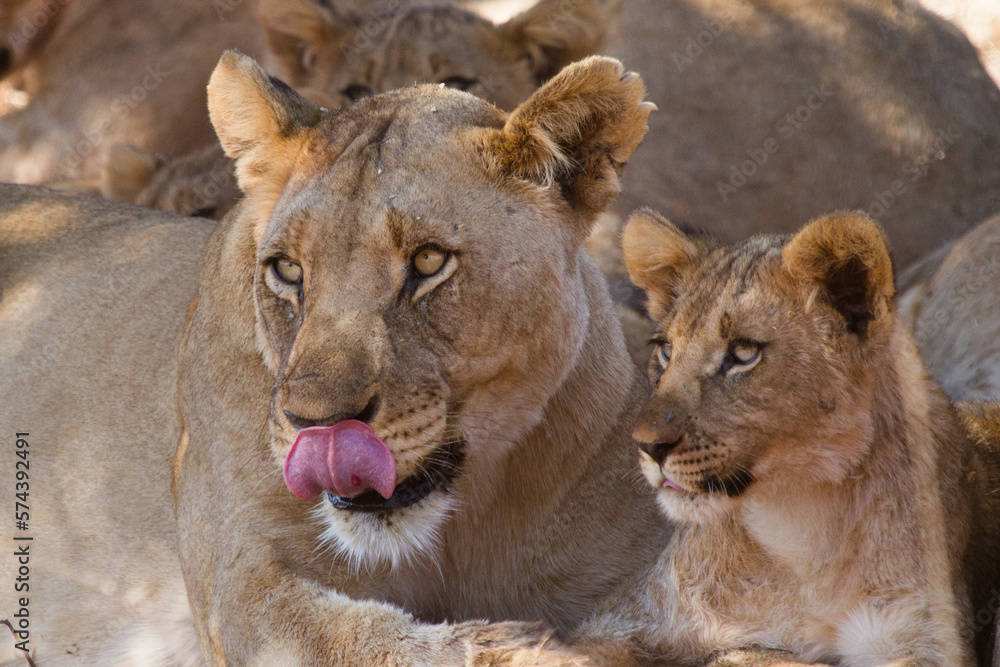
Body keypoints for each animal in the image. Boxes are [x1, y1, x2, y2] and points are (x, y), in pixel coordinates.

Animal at [0, 53, 669, 666]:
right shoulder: (243, 586)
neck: (460, 523)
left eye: (428, 261)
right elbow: (368, 641)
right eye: (288, 270)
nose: (316, 425)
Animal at [567, 211, 1000, 666]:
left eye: (743, 353)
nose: (648, 446)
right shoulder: (628, 619)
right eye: (666, 350)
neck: (799, 522)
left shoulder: (921, 636)